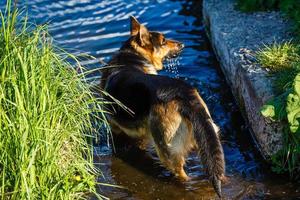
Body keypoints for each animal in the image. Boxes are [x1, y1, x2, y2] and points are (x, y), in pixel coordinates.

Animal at [101, 16, 225, 198]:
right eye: (164, 41)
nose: (182, 44)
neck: (131, 55)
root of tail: (184, 93)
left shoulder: (116, 127)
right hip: (205, 133)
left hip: (166, 148)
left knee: (181, 175)